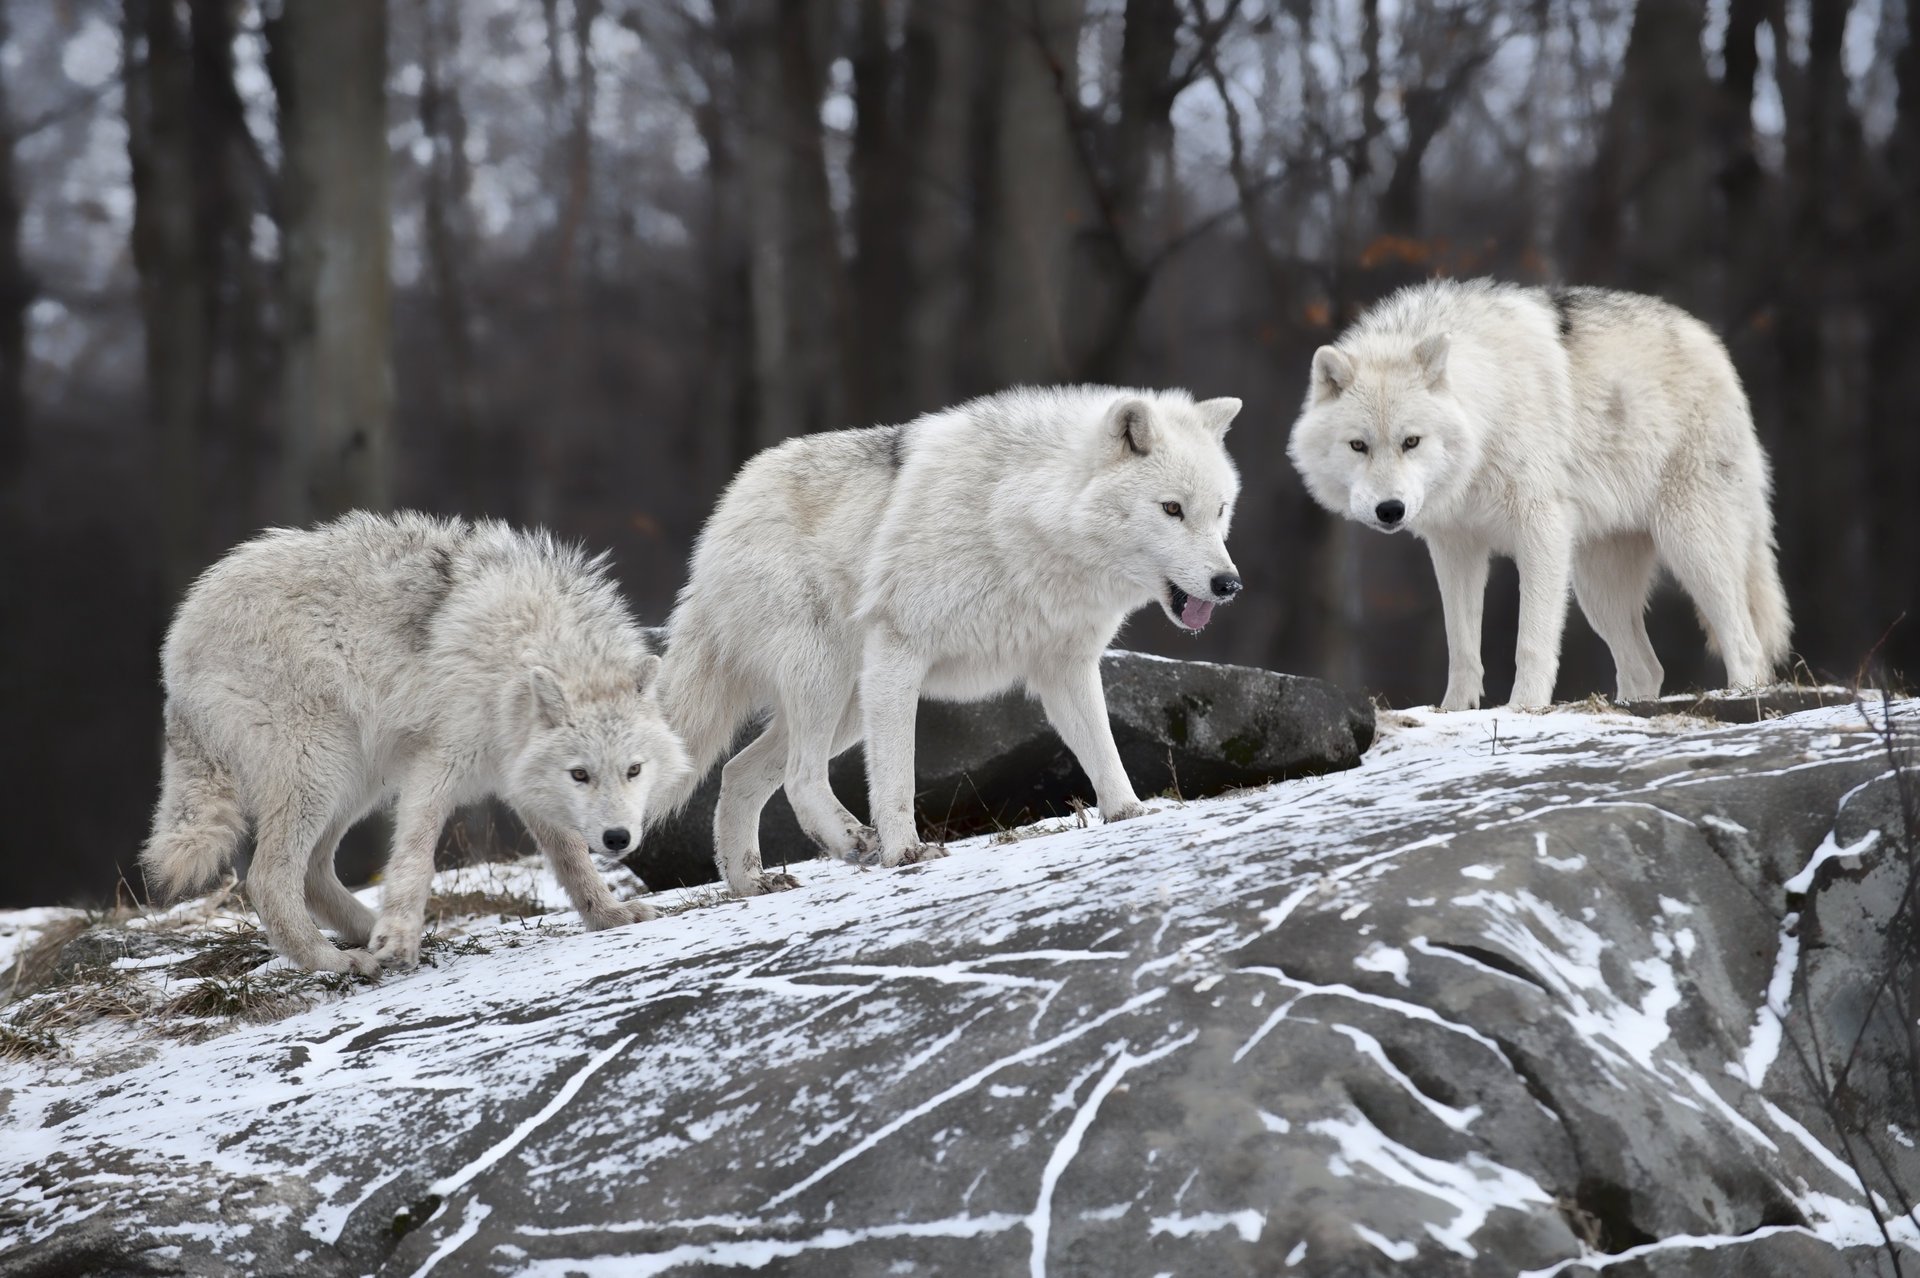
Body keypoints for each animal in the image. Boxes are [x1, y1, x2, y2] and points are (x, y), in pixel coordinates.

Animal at [141, 512, 691, 975]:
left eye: (634, 771)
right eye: (581, 774)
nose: (618, 839)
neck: (518, 650)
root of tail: (178, 637)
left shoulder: (520, 777)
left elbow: (572, 858)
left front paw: (609, 915)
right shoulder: (437, 764)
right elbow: (415, 857)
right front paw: (399, 936)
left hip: (356, 780)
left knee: (313, 874)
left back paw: (373, 935)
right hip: (323, 769)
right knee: (268, 879)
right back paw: (336, 961)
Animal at [656, 385, 1244, 896]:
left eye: (1219, 510)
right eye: (1172, 509)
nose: (1229, 584)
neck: (1022, 519)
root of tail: (724, 512)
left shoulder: (1065, 667)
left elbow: (1103, 751)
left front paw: (1129, 815)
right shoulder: (900, 651)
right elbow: (897, 776)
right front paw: (905, 853)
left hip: (849, 704)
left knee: (738, 772)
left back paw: (750, 883)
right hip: (830, 681)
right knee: (801, 776)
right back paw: (853, 843)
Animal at [1287, 278, 1789, 709]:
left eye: (1411, 441)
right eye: (1358, 445)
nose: (1390, 510)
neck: (1488, 412)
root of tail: (1711, 342)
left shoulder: (1541, 531)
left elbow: (1531, 641)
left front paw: (1523, 707)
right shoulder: (1455, 547)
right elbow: (1462, 646)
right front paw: (1454, 710)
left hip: (1690, 547)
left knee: (1746, 644)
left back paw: (1742, 695)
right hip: (1597, 588)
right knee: (1647, 668)